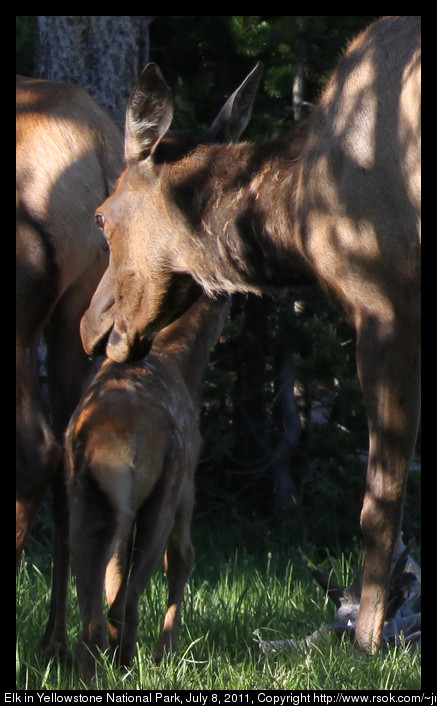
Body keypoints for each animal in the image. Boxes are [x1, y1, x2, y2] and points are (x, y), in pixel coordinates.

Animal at [67, 292, 230, 676]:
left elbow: (115, 575)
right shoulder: (185, 481)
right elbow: (183, 557)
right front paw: (165, 652)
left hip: (87, 498)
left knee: (95, 606)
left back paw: (92, 670)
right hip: (161, 492)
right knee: (129, 598)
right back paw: (126, 663)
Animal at [81, 15, 418, 656]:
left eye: (102, 215)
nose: (93, 328)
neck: (295, 214)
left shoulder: (383, 305)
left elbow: (379, 501)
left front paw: (367, 642)